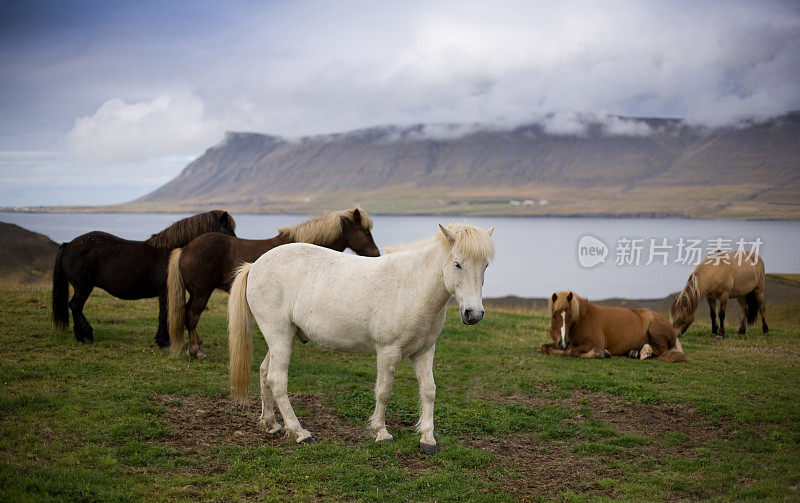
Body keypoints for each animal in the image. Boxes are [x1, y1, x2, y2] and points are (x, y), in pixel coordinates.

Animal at [50, 212, 234, 346]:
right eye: (229, 231)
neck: (169, 253)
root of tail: (68, 244)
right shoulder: (165, 291)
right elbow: (164, 314)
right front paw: (164, 341)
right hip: (83, 287)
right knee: (75, 306)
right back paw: (86, 335)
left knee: (75, 307)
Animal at [167, 207, 380, 360]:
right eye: (365, 231)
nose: (376, 253)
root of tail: (185, 248)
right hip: (202, 293)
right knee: (192, 316)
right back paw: (197, 351)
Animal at [225, 222, 494, 454]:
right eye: (458, 264)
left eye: (485, 266)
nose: (474, 314)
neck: (410, 286)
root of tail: (255, 265)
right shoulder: (388, 351)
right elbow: (384, 391)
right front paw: (381, 432)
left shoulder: (425, 351)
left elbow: (429, 390)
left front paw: (427, 439)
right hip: (279, 335)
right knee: (277, 380)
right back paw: (300, 432)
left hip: (282, 337)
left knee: (264, 373)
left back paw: (271, 424)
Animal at [540, 292, 692, 362]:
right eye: (554, 315)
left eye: (570, 316)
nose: (563, 342)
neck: (583, 318)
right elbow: (544, 347)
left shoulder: (596, 343)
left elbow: (574, 351)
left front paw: (600, 353)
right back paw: (635, 353)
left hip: (656, 331)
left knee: (663, 350)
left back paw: (645, 352)